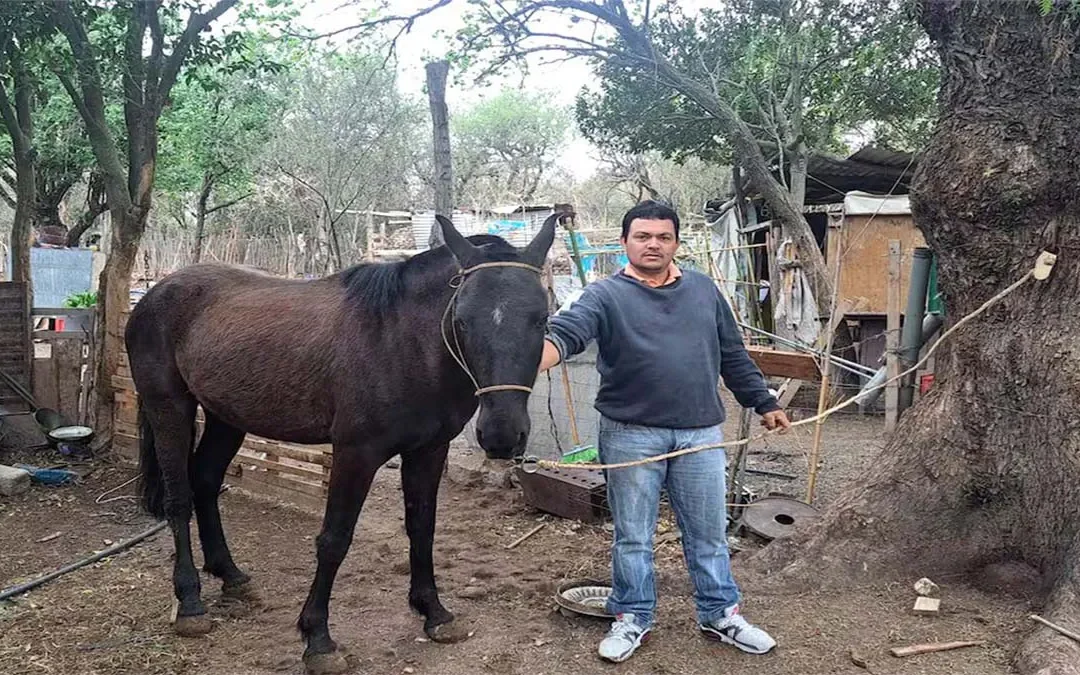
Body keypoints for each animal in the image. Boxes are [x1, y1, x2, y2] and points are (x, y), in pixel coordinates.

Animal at [129, 213, 557, 674]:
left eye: (541, 318)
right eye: (462, 320)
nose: (501, 435)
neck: (400, 343)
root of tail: (154, 293)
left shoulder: (428, 451)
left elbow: (422, 528)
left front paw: (434, 613)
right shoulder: (356, 454)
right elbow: (334, 539)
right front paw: (317, 637)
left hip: (227, 417)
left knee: (206, 482)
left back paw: (230, 575)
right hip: (170, 408)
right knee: (179, 499)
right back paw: (190, 602)